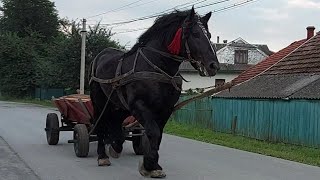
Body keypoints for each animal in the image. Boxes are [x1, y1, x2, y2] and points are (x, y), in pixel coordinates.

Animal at [90, 7, 220, 179]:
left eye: (209, 35)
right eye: (195, 34)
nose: (214, 66)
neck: (157, 66)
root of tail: (100, 55)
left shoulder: (166, 109)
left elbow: (158, 135)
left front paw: (153, 165)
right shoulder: (139, 105)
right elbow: (153, 132)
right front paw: (150, 164)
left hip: (119, 104)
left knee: (116, 122)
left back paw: (116, 145)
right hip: (99, 101)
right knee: (101, 124)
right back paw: (102, 156)